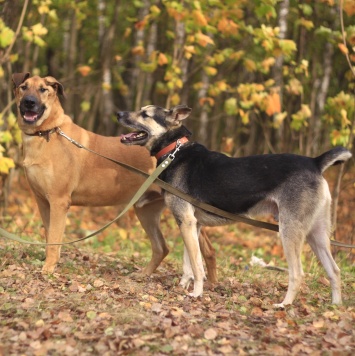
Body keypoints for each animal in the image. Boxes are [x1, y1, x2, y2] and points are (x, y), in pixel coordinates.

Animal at [11, 73, 217, 282]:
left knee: (207, 250)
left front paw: (48, 269)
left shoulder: (59, 201)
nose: (29, 102)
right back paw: (145, 274)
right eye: (23, 87)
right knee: (162, 247)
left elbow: (54, 240)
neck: (46, 133)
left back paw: (211, 284)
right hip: (146, 211)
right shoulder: (43, 201)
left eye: (43, 90)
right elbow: (48, 236)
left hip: (181, 213)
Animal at [117, 104, 354, 308]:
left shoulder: (186, 221)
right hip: (317, 233)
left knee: (297, 274)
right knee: (334, 271)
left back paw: (284, 305)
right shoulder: (193, 224)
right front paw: (184, 285)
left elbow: (196, 264)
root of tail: (315, 162)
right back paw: (335, 306)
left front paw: (196, 293)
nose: (118, 114)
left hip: (290, 231)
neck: (174, 150)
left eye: (145, 114)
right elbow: (188, 262)